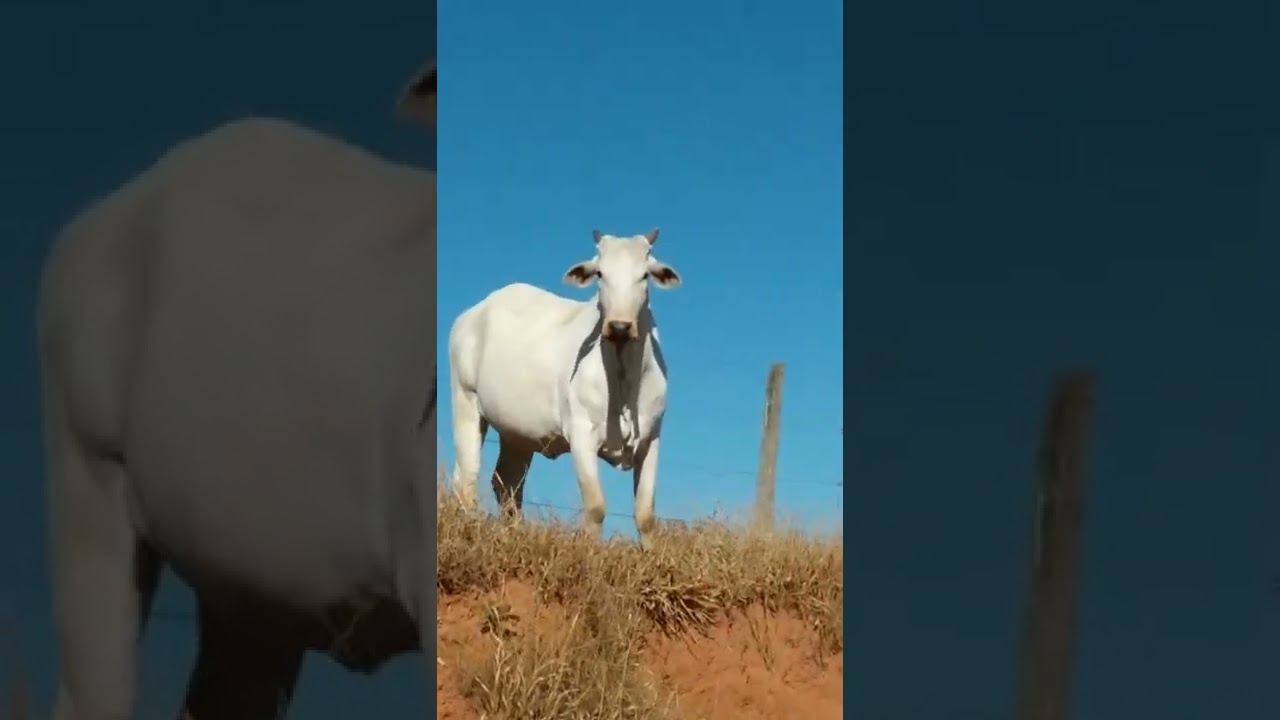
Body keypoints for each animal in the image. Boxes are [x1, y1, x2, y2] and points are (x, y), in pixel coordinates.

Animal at [447, 229, 681, 551]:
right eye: (600, 273)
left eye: (644, 274)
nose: (619, 326)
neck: (624, 377)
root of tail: (472, 314)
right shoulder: (581, 433)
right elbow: (595, 506)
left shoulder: (651, 437)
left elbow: (645, 514)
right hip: (466, 401)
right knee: (467, 478)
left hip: (517, 432)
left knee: (506, 482)